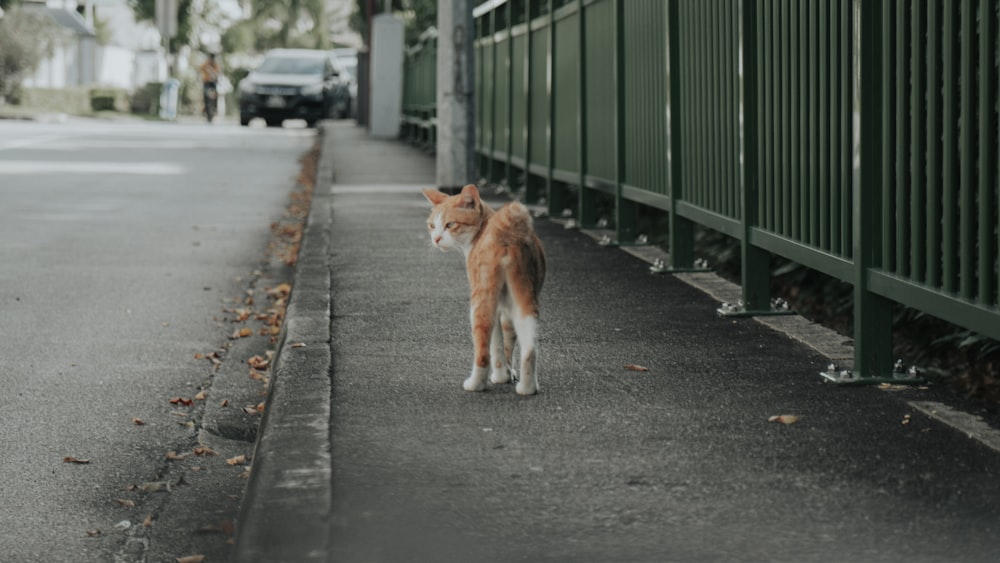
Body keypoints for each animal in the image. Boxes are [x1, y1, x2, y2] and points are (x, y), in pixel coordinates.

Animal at [422, 185, 548, 396]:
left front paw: (501, 376)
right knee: (530, 348)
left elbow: (495, 347)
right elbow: (508, 341)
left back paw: (475, 384)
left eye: (450, 225)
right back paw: (528, 388)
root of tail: (505, 232)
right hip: (525, 301)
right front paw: (508, 374)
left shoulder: (494, 307)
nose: (436, 239)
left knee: (482, 353)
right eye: (432, 225)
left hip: (480, 302)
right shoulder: (506, 310)